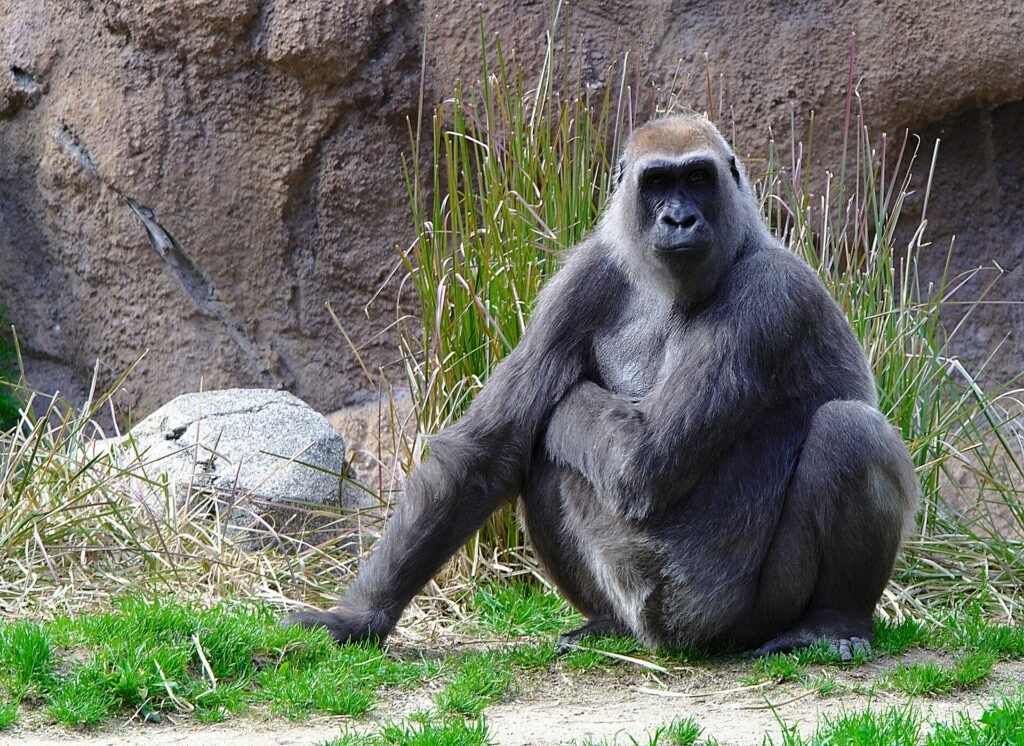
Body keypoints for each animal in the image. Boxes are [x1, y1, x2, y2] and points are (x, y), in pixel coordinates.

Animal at [287, 113, 919, 659]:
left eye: (698, 178)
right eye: (658, 183)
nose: (679, 220)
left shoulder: (772, 292)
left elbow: (643, 455)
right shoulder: (583, 277)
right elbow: (488, 452)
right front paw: (359, 618)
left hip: (740, 619)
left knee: (850, 431)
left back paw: (832, 622)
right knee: (546, 458)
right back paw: (608, 623)